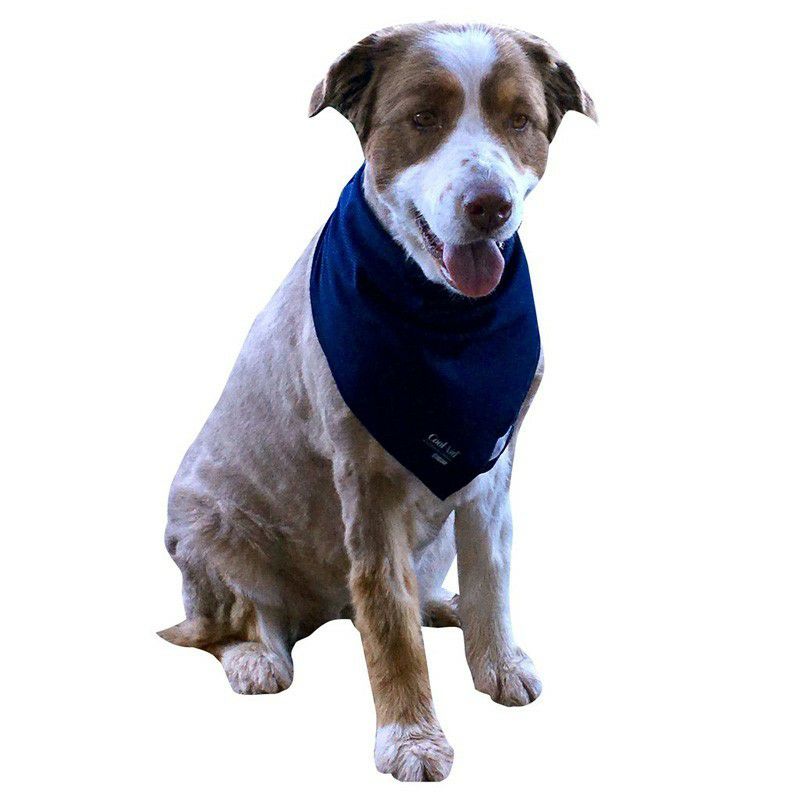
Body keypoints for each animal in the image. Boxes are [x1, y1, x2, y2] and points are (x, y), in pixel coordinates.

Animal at [159, 22, 595, 781]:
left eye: (519, 121)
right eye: (422, 118)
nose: (490, 207)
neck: (446, 321)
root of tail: (322, 608)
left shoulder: (491, 468)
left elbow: (493, 575)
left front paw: (498, 662)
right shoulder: (369, 484)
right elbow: (388, 619)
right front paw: (411, 737)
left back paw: (442, 606)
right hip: (208, 523)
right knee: (231, 621)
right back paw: (255, 657)